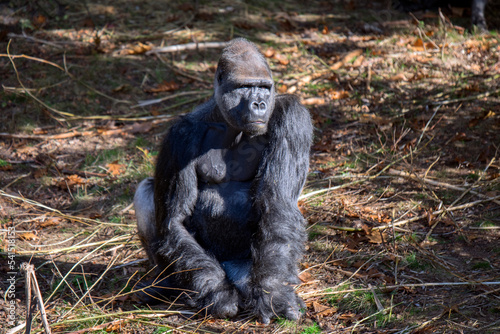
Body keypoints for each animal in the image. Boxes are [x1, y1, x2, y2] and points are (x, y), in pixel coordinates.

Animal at [133, 37, 312, 324]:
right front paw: (217, 293)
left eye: (264, 88)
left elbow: (277, 206)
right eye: (244, 87)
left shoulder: (293, 117)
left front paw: (273, 293)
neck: (229, 123)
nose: (259, 104)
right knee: (147, 192)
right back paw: (166, 285)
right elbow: (174, 220)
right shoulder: (180, 135)